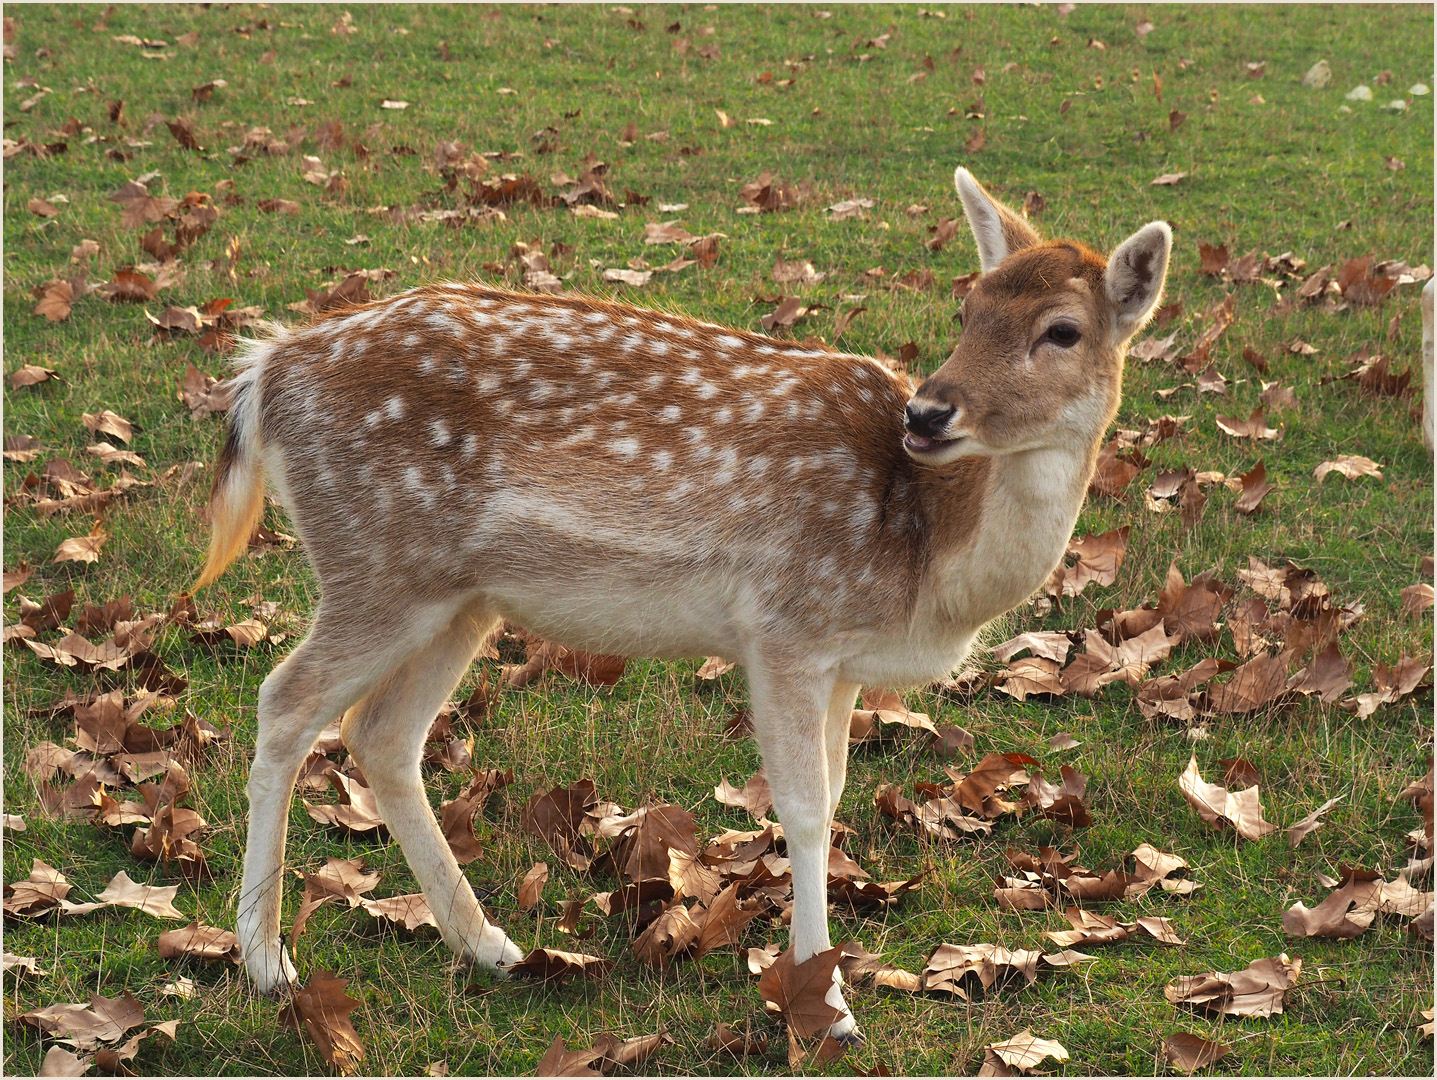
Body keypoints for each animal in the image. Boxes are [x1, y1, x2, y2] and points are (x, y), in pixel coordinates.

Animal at [199, 166, 1166, 1039]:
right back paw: (266, 961)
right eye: (966, 311)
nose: (927, 414)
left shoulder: (843, 661)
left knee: (381, 733)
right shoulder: (784, 625)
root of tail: (264, 374)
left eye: (1062, 330)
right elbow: (803, 808)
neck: (924, 562)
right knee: (285, 701)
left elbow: (837, 795)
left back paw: (490, 946)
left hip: (457, 597)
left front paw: (822, 984)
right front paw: (828, 1010)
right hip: (374, 562)